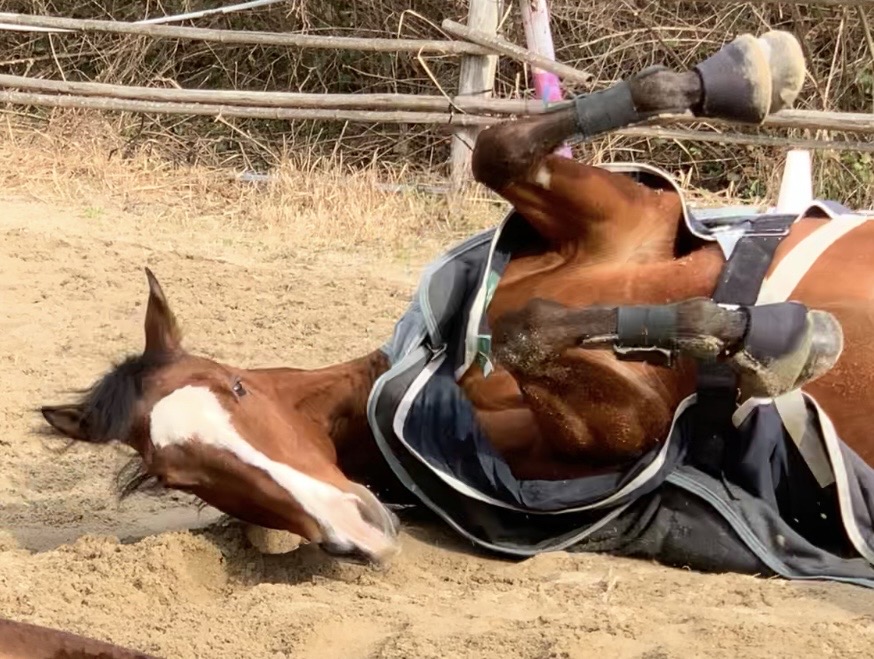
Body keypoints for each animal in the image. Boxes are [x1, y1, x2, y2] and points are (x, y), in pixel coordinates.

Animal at [37, 30, 874, 576]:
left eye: (236, 386)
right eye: (183, 477)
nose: (358, 527)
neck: (431, 361)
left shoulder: (641, 222)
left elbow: (497, 151)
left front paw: (749, 74)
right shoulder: (619, 434)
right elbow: (525, 328)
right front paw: (772, 334)